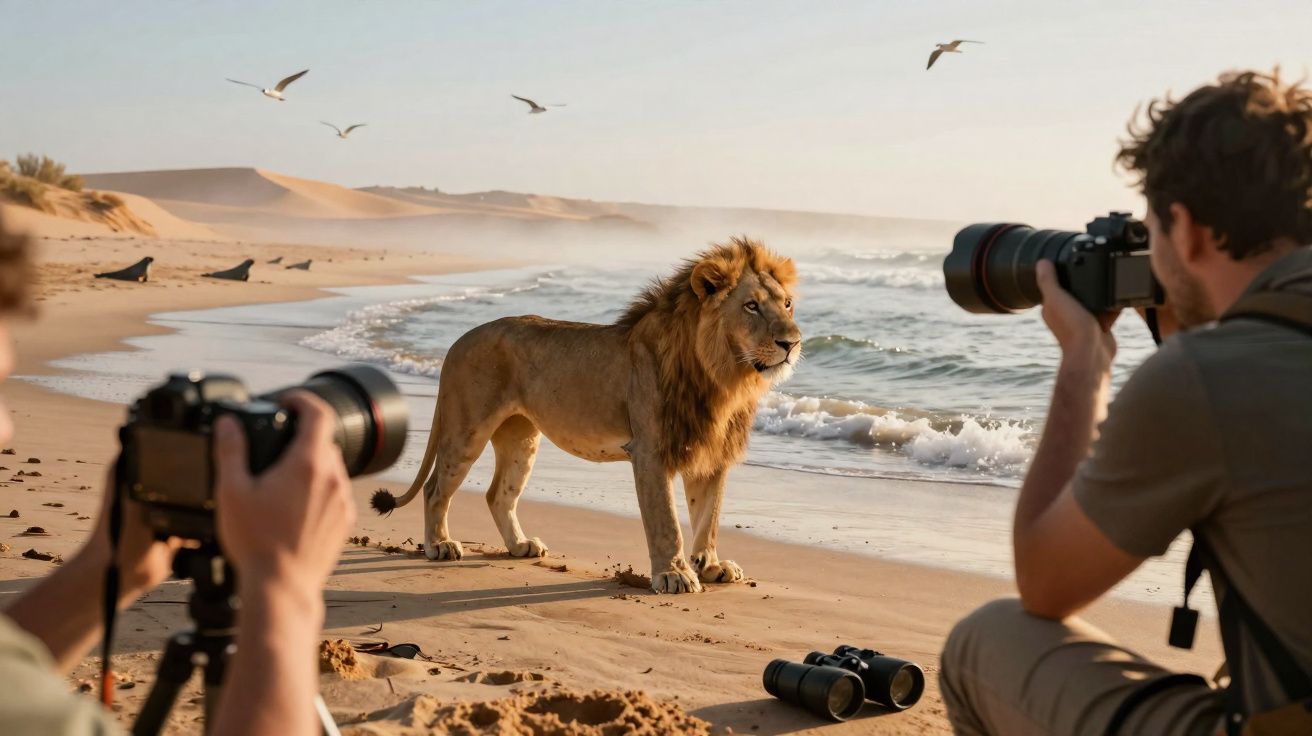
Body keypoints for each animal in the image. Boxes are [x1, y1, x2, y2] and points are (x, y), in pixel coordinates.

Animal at [370, 237, 801, 593]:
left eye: (787, 304)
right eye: (751, 306)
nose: (793, 342)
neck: (723, 377)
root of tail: (456, 342)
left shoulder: (710, 452)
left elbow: (708, 516)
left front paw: (710, 567)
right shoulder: (650, 451)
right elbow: (667, 521)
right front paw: (674, 574)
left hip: (521, 437)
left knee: (498, 494)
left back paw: (520, 546)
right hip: (466, 429)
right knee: (435, 488)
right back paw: (440, 545)